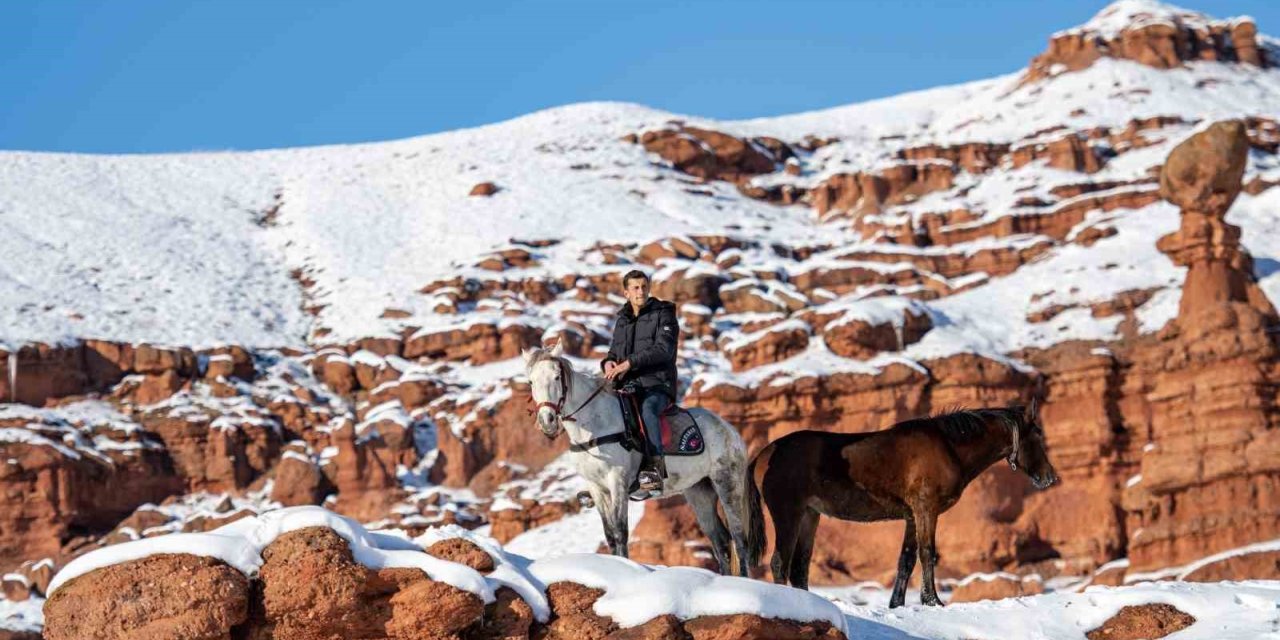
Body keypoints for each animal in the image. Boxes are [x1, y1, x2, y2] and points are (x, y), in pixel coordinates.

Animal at [519, 345, 757, 576]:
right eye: (531, 381)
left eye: (557, 376)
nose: (547, 421)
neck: (594, 424)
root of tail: (730, 430)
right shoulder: (596, 487)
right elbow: (609, 534)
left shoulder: (617, 481)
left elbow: (620, 531)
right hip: (699, 492)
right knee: (721, 543)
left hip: (727, 484)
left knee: (739, 540)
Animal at [747, 401, 1054, 606]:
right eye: (1038, 434)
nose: (1049, 477)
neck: (949, 447)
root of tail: (764, 453)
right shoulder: (926, 510)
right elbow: (927, 553)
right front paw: (933, 600)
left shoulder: (911, 515)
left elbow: (906, 559)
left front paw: (897, 603)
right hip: (788, 514)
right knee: (779, 562)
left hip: (810, 515)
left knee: (799, 567)